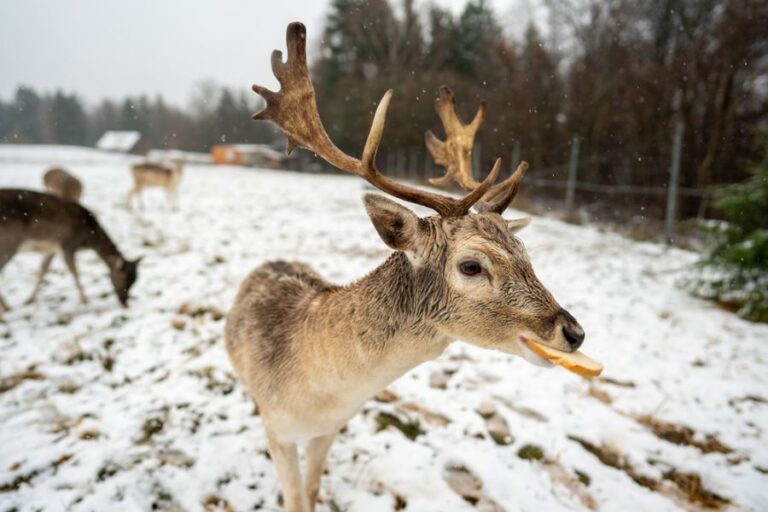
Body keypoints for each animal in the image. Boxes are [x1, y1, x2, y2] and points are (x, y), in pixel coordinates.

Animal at [0, 189, 140, 319]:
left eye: (135, 280)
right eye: (122, 278)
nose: (125, 303)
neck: (88, 239)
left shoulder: (52, 249)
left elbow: (43, 269)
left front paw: (30, 299)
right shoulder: (68, 245)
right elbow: (75, 272)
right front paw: (85, 300)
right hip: (9, 243)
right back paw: (6, 308)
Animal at [226, 23, 588, 512]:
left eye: (525, 251)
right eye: (471, 266)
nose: (573, 332)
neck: (317, 397)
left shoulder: (329, 431)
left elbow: (314, 492)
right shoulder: (279, 432)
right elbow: (295, 499)